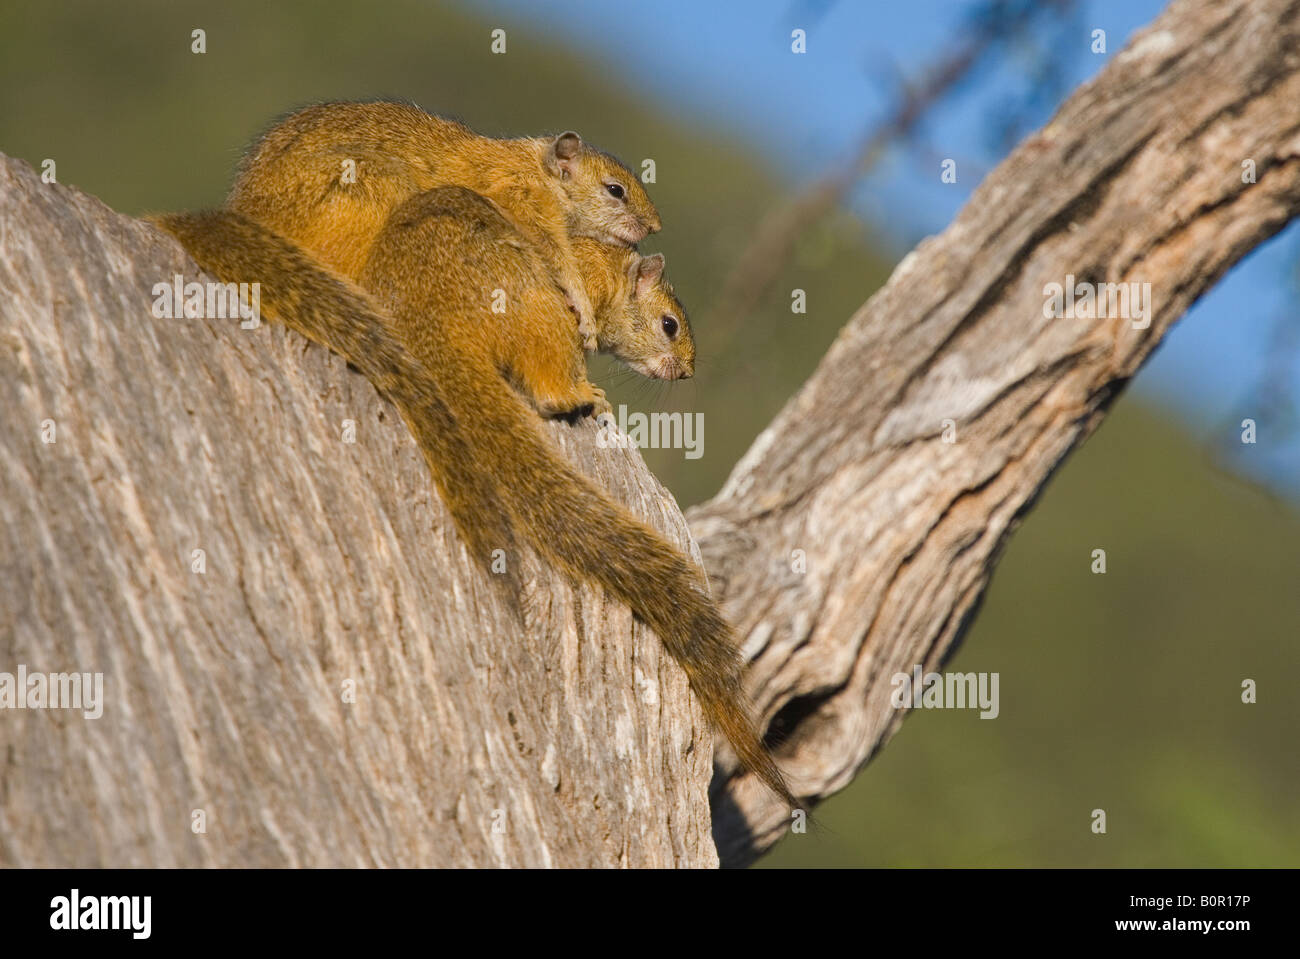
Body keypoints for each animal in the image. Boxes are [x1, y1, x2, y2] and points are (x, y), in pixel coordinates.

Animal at [227, 98, 660, 350]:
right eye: (616, 190)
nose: (654, 226)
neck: (537, 170)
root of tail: (244, 207)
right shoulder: (525, 203)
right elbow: (557, 260)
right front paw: (584, 315)